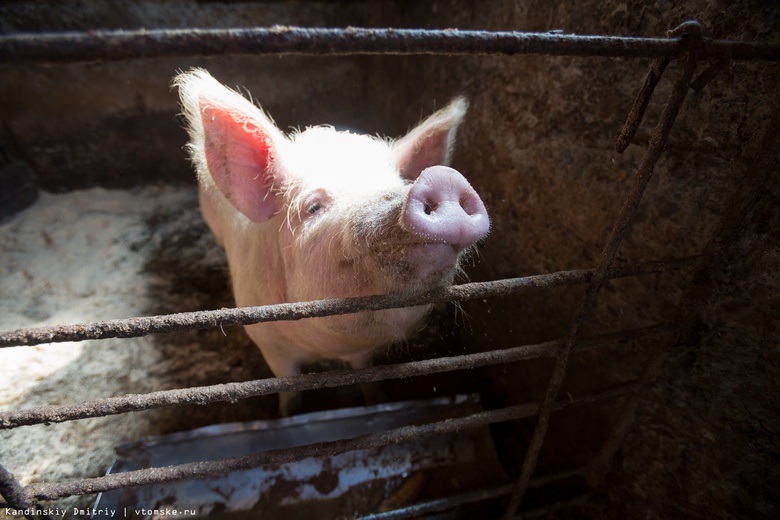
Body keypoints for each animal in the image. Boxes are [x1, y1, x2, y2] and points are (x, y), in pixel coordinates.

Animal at [177, 68, 488, 410]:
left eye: (397, 185)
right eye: (314, 207)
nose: (442, 178)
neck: (325, 348)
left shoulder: (363, 354)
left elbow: (368, 381)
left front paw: (377, 402)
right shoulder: (270, 346)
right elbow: (290, 392)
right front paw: (289, 415)